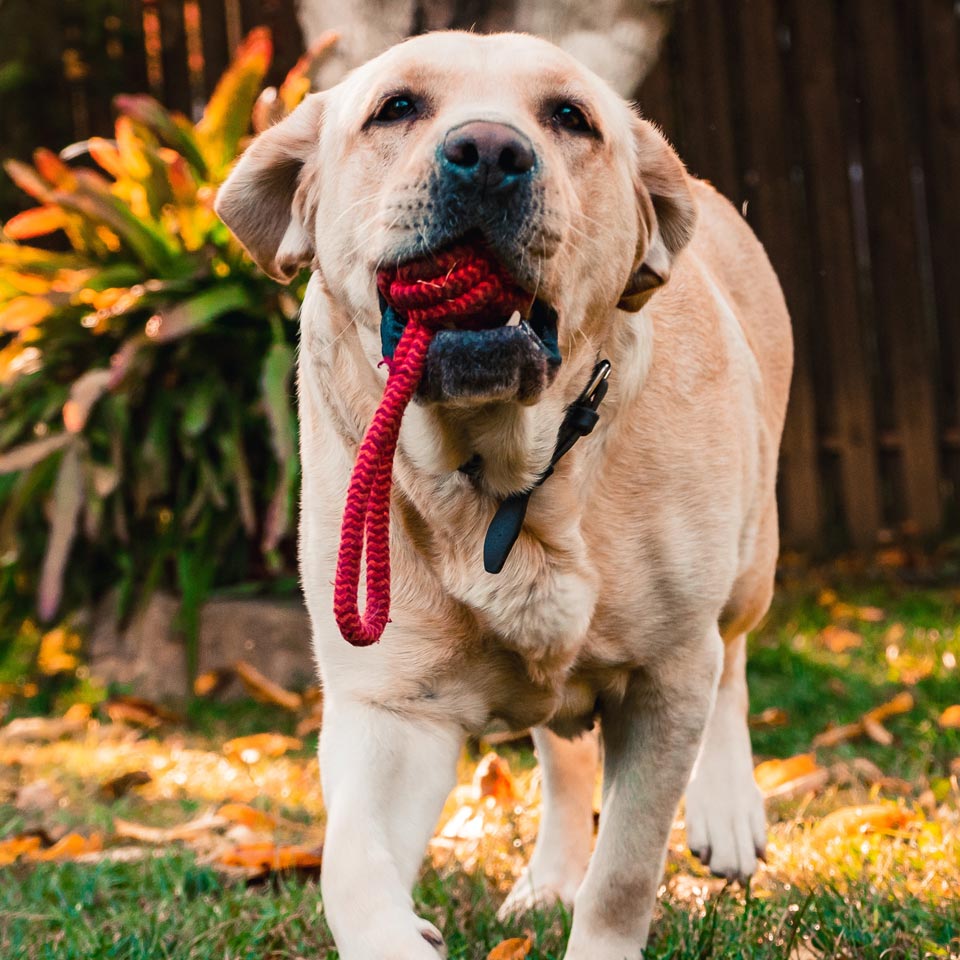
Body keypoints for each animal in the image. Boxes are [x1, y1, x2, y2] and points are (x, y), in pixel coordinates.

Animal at [216, 30, 788, 960]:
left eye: (570, 118)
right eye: (397, 107)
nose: (488, 153)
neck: (506, 476)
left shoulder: (668, 677)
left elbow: (625, 871)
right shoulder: (390, 705)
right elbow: (349, 861)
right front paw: (399, 936)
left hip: (748, 565)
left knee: (732, 663)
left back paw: (728, 812)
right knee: (563, 757)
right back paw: (548, 879)